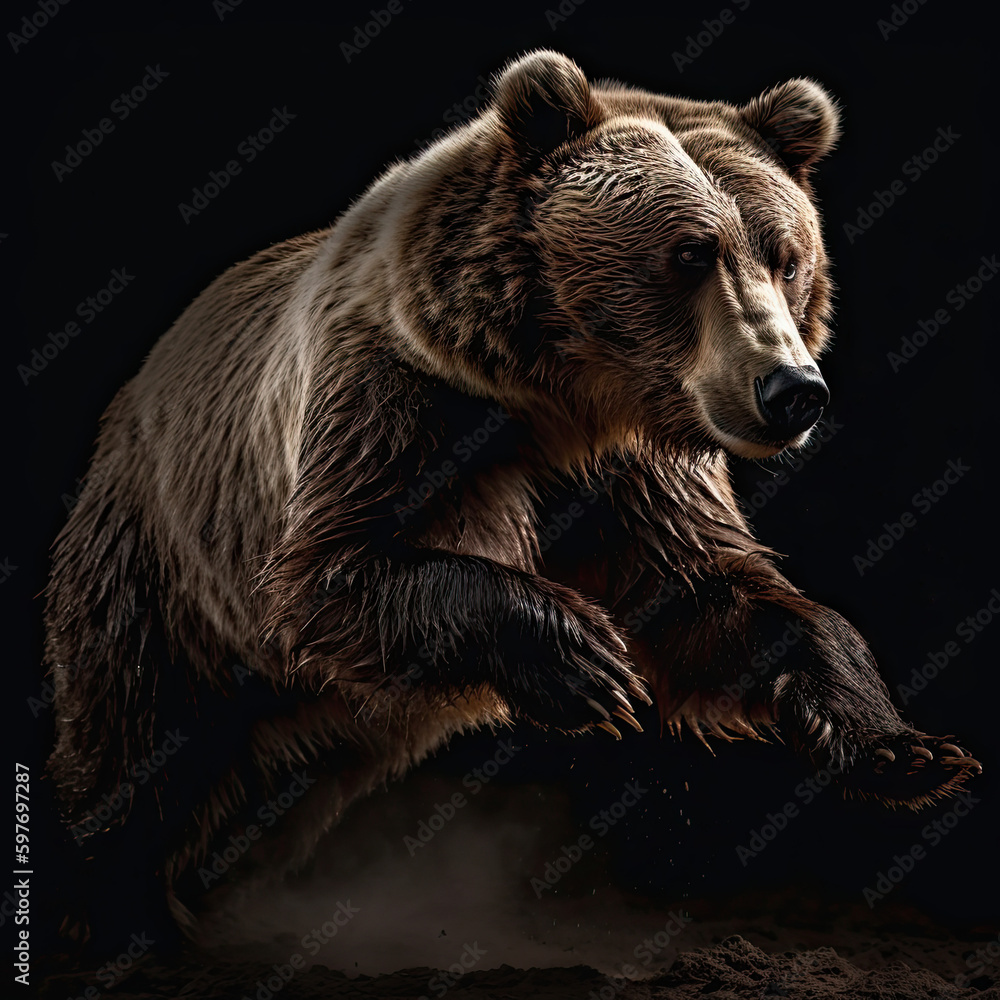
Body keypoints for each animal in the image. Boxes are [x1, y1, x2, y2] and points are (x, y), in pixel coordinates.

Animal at [44, 49, 981, 949]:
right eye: (690, 251)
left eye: (787, 257)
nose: (793, 389)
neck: (563, 394)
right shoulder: (396, 399)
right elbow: (328, 572)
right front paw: (588, 665)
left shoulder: (632, 474)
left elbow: (719, 601)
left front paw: (908, 753)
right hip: (157, 562)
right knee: (132, 739)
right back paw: (115, 912)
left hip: (332, 719)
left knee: (271, 789)